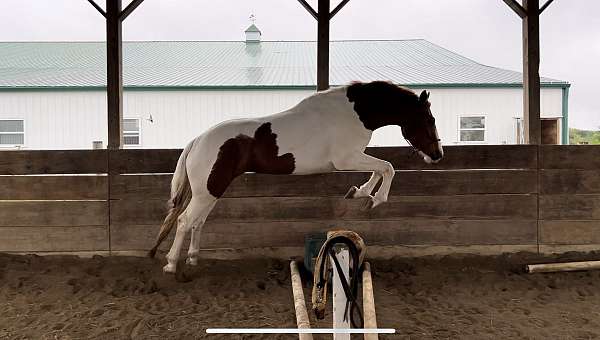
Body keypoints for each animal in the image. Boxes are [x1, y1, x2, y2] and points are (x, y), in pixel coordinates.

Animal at [148, 80, 442, 274]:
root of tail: (198, 140)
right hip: (207, 190)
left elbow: (379, 168)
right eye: (429, 120)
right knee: (185, 220)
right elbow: (388, 167)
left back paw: (193, 259)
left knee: (198, 222)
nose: (437, 154)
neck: (353, 113)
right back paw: (171, 264)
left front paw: (360, 193)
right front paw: (374, 198)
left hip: (212, 191)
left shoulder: (353, 157)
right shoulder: (346, 159)